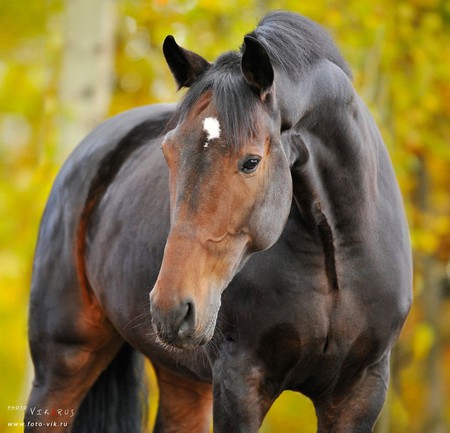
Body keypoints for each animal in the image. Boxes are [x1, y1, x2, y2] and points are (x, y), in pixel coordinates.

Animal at [24, 10, 412, 432]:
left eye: (251, 161)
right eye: (169, 152)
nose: (171, 306)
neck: (335, 259)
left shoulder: (359, 391)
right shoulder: (239, 382)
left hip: (182, 380)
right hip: (63, 363)